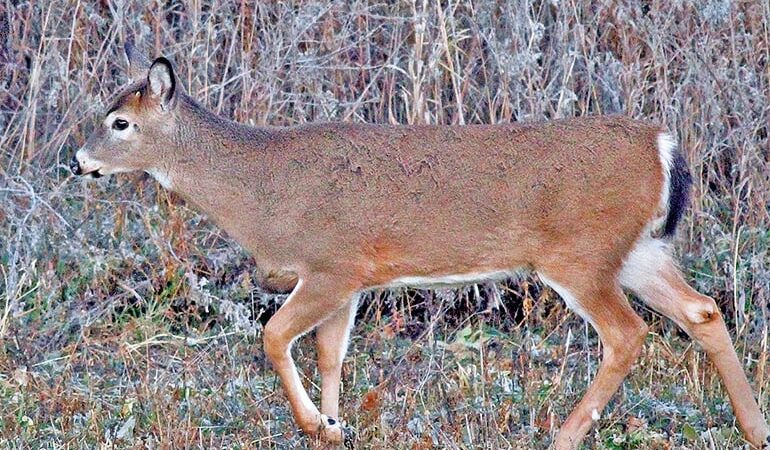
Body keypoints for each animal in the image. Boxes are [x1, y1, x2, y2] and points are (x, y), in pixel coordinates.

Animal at [72, 40, 768, 448]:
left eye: (119, 122)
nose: (78, 162)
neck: (262, 192)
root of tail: (665, 144)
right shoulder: (351, 279)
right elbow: (329, 354)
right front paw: (332, 425)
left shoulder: (333, 262)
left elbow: (273, 337)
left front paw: (313, 424)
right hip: (636, 251)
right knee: (703, 310)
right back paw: (755, 427)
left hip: (580, 253)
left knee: (629, 334)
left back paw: (563, 437)